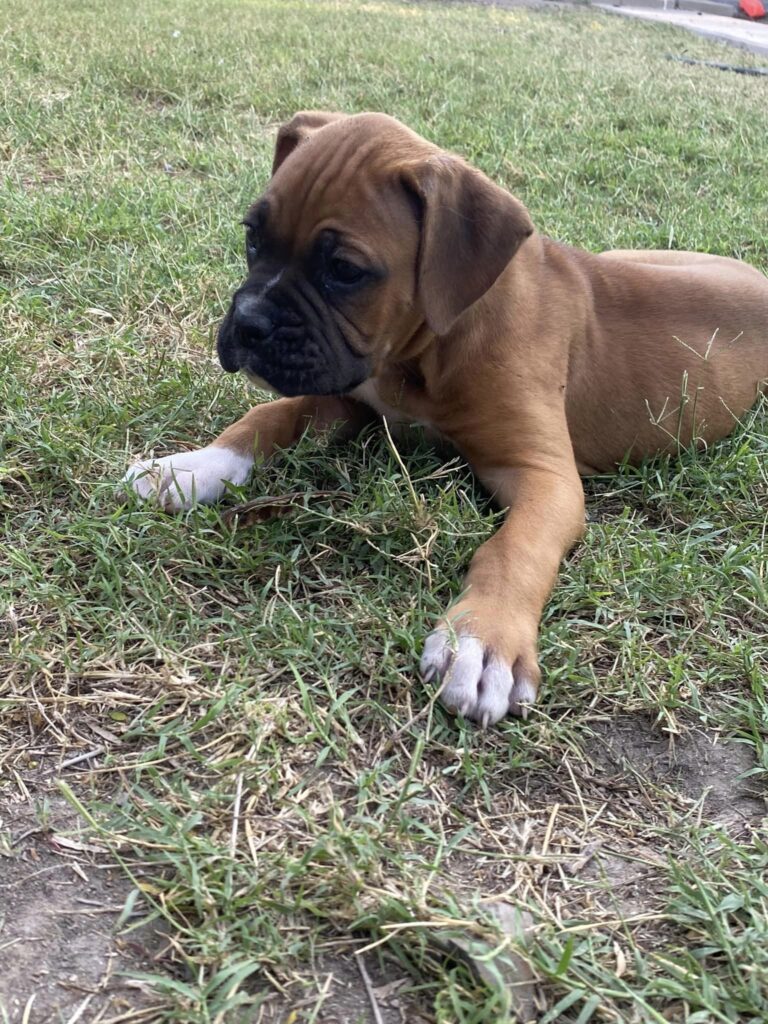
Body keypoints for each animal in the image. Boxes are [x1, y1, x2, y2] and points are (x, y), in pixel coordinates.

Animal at [123, 112, 765, 729]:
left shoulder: (544, 475)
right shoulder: (348, 400)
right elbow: (268, 414)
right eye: (253, 238)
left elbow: (516, 548)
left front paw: (484, 641)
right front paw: (190, 468)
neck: (426, 350)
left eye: (345, 270)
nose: (249, 324)